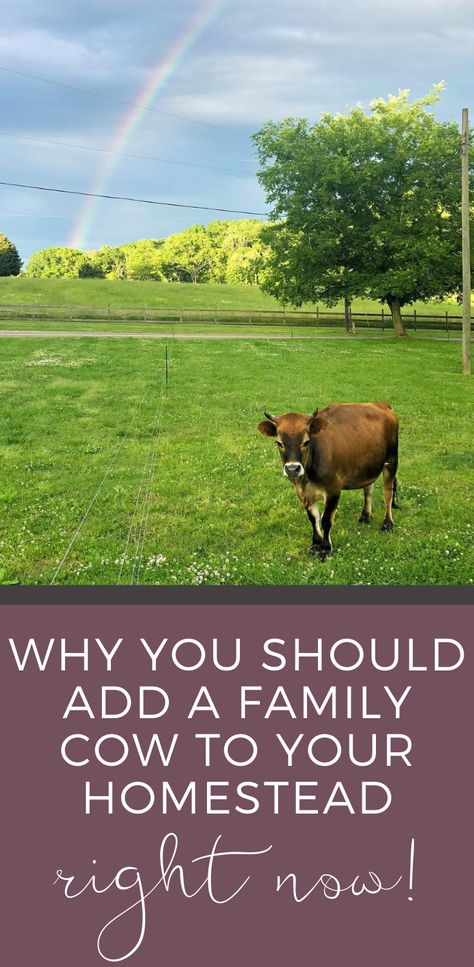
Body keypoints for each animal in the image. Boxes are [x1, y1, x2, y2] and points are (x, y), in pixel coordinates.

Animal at [258, 400, 398, 560]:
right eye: (279, 443)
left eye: (306, 442)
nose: (293, 469)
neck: (307, 479)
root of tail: (381, 404)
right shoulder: (303, 493)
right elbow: (313, 518)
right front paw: (315, 544)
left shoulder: (333, 489)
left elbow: (325, 520)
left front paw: (325, 548)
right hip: (369, 465)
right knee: (368, 489)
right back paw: (365, 516)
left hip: (391, 460)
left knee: (388, 493)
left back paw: (387, 523)